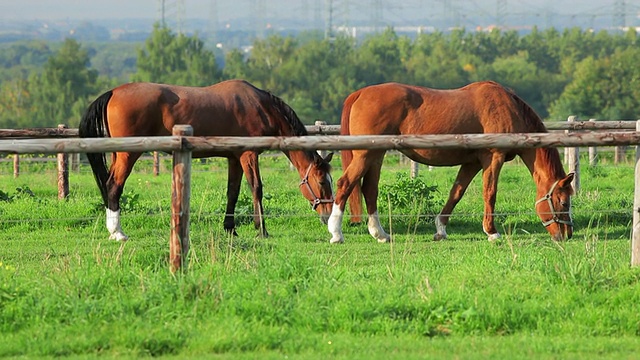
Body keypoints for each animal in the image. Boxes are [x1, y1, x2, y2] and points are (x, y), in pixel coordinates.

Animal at [80, 79, 336, 242]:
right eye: (322, 182)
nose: (327, 216)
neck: (260, 106)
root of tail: (113, 92)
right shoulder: (249, 155)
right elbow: (256, 189)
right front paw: (261, 229)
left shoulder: (235, 158)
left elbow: (233, 192)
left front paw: (230, 229)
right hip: (128, 154)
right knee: (114, 187)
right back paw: (118, 233)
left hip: (118, 154)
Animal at [330, 81, 576, 243]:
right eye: (564, 202)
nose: (567, 235)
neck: (507, 107)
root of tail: (360, 93)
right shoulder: (493, 158)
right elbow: (490, 193)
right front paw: (491, 232)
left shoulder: (472, 163)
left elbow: (456, 193)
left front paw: (440, 229)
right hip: (365, 155)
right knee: (345, 184)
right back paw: (336, 233)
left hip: (376, 155)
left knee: (370, 190)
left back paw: (380, 234)